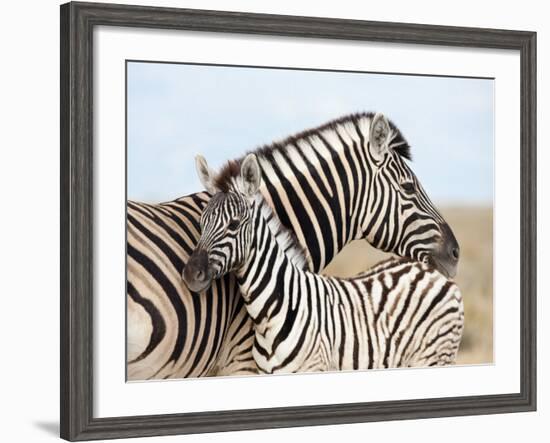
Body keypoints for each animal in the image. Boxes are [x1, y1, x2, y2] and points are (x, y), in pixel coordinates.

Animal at [184, 154, 466, 372]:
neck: (275, 310)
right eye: (201, 223)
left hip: (434, 358)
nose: (190, 274)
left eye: (233, 225)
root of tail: (434, 271)